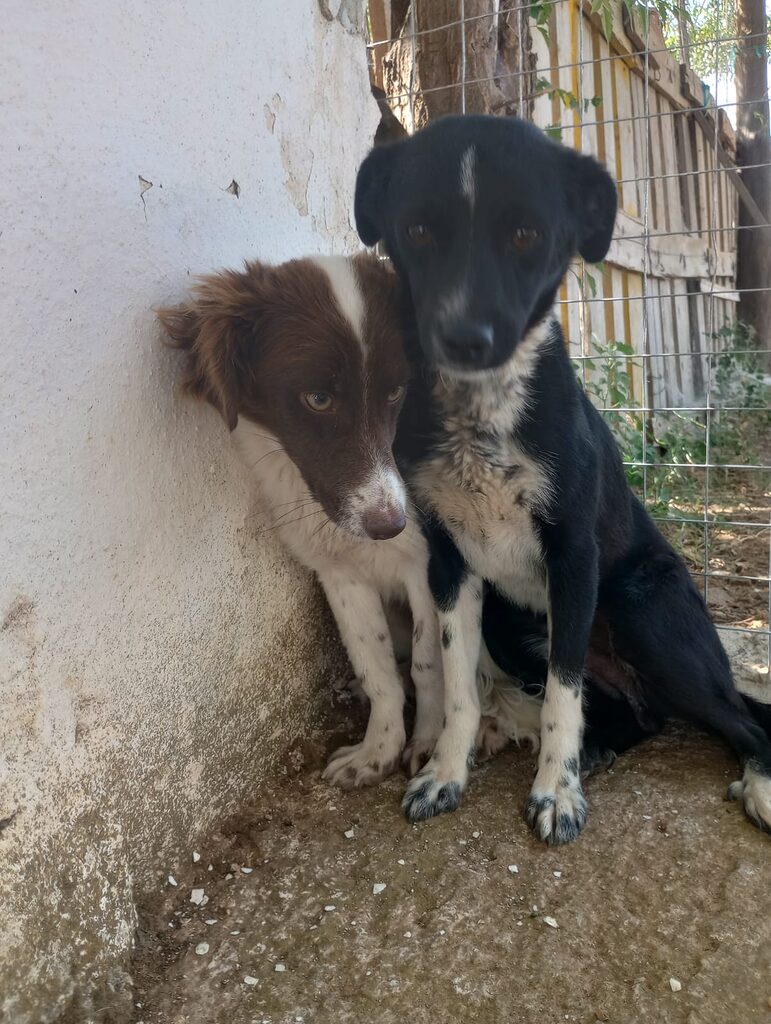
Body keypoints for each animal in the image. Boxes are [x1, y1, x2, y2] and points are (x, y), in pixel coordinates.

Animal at [157, 253, 545, 788]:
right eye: (318, 398)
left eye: (396, 392)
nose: (390, 524)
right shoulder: (339, 574)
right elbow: (375, 668)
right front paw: (378, 750)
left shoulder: (424, 565)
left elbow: (430, 664)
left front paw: (429, 742)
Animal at [354, 113, 771, 842]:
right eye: (418, 230)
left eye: (526, 234)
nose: (464, 338)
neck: (483, 413)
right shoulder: (449, 566)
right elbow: (459, 689)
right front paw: (446, 773)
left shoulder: (573, 561)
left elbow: (560, 696)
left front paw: (556, 792)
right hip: (509, 620)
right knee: (642, 716)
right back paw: (602, 746)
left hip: (640, 610)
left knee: (743, 720)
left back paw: (759, 785)